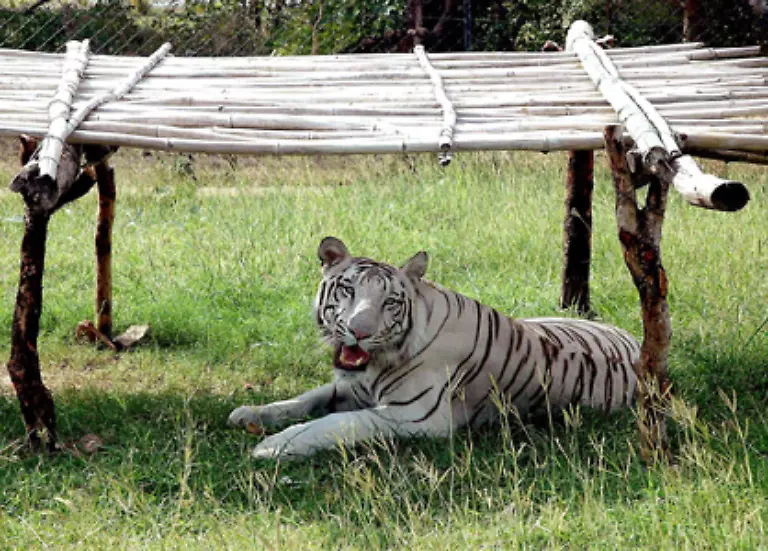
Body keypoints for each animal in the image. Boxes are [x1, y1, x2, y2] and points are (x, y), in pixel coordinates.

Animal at [229, 237, 640, 460]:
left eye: (390, 303)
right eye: (348, 290)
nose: (359, 332)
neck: (378, 363)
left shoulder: (414, 416)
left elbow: (335, 422)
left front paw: (275, 445)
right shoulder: (352, 385)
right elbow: (305, 398)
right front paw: (250, 413)